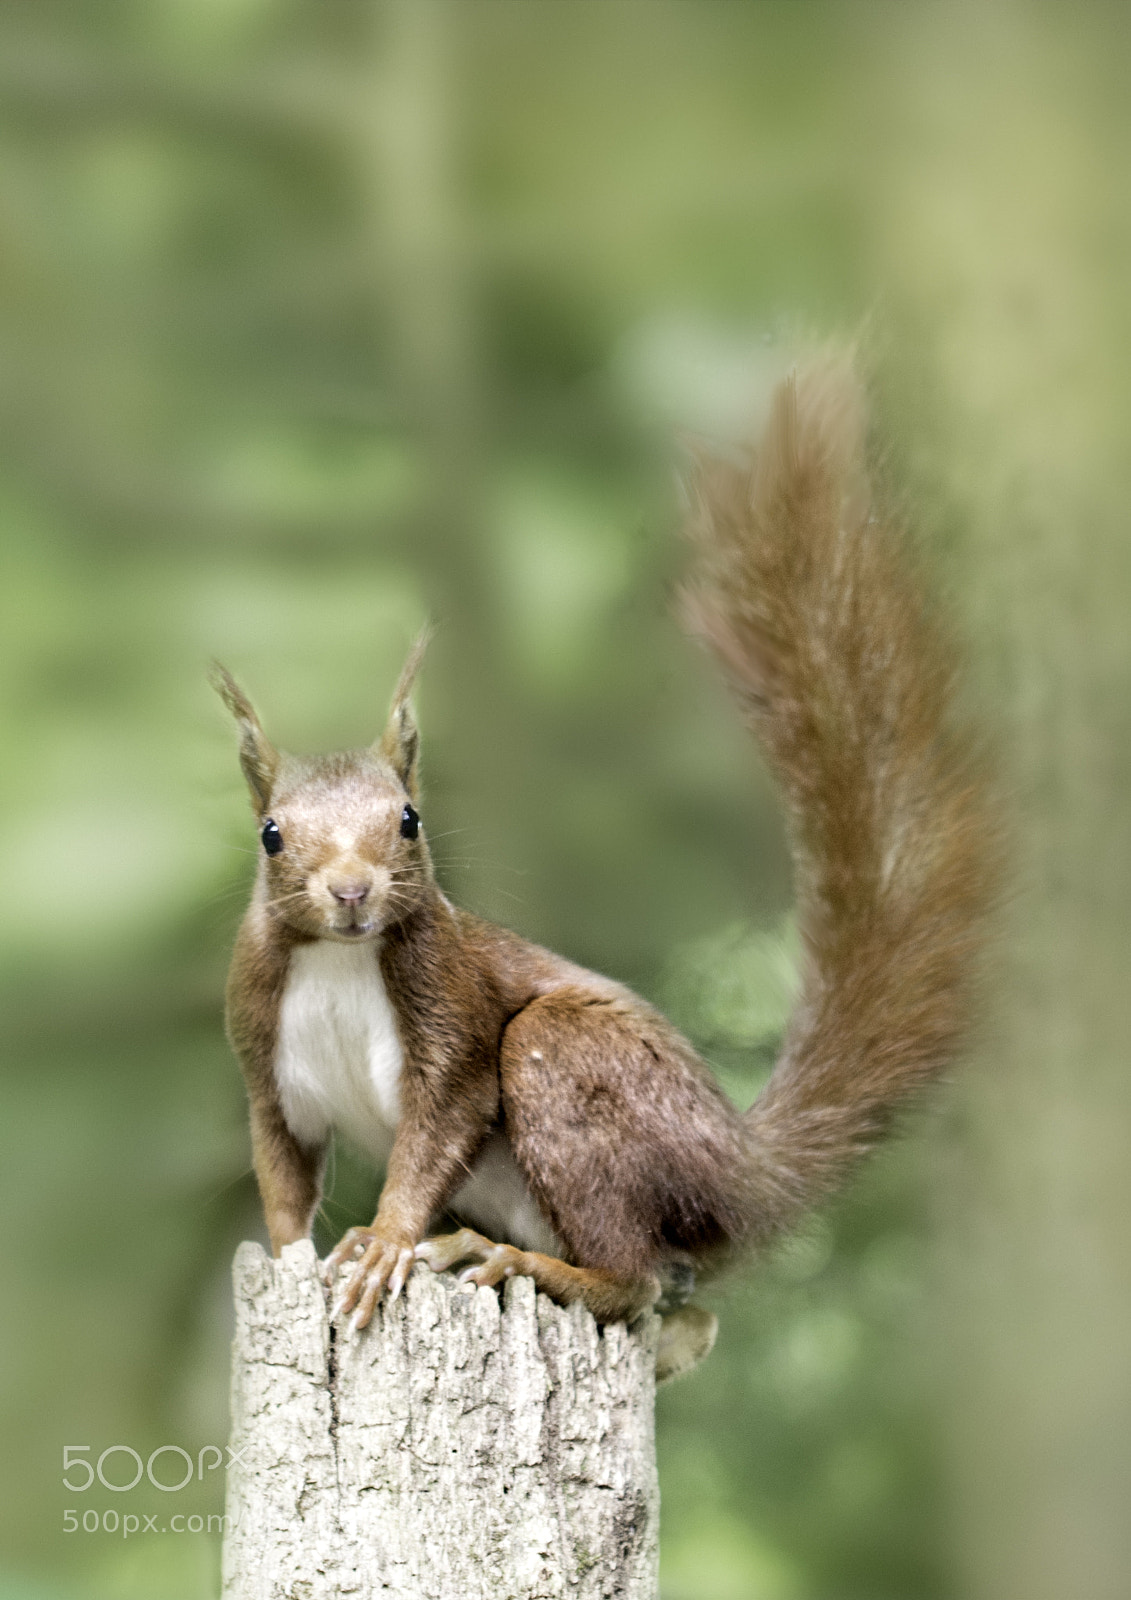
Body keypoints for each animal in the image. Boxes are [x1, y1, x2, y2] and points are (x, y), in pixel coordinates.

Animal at [212, 358, 996, 1384]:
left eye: (410, 821)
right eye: (271, 834)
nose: (350, 891)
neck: (341, 959)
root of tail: (734, 1172)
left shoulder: (452, 1006)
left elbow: (437, 1130)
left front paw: (382, 1244)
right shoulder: (266, 1057)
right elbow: (281, 1173)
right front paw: (287, 1262)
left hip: (571, 1064)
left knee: (630, 1278)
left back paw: (509, 1260)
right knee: (678, 1310)